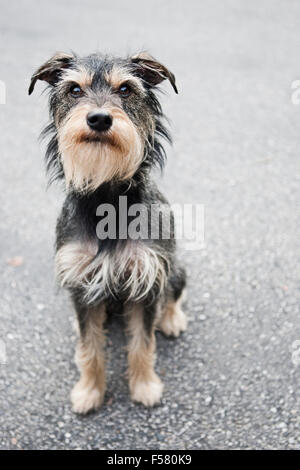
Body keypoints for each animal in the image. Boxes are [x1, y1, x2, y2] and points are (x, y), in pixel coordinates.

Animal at [28, 49, 188, 414]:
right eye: (74, 89)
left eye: (126, 89)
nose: (99, 119)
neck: (106, 198)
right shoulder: (81, 282)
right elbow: (90, 348)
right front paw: (89, 391)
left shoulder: (146, 281)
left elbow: (142, 343)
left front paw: (145, 386)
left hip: (175, 268)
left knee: (173, 294)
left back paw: (172, 319)